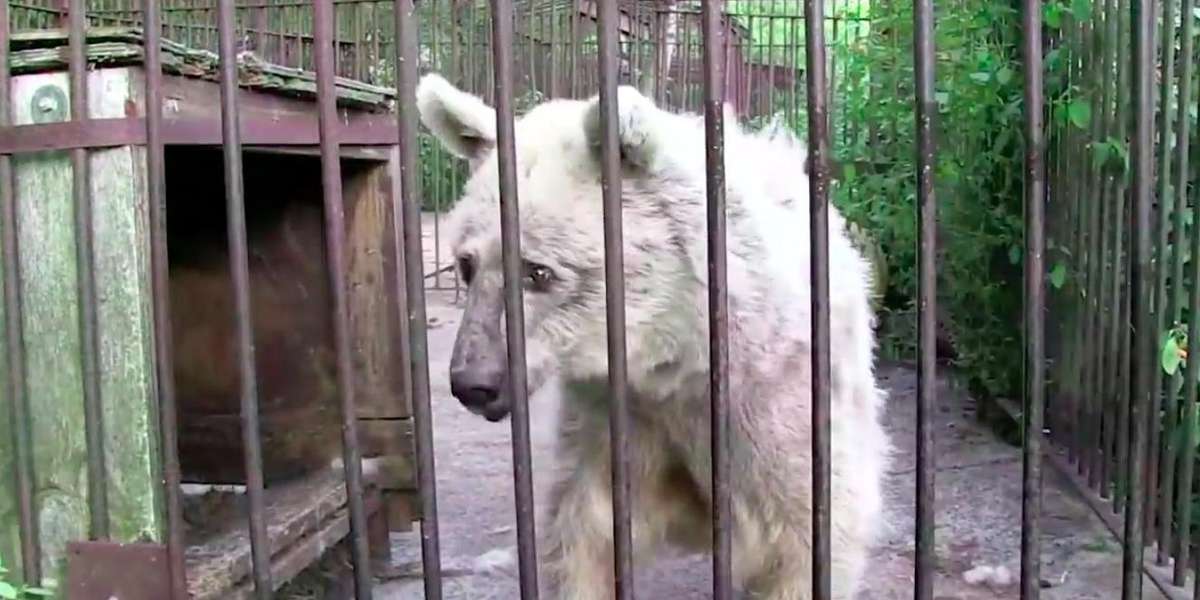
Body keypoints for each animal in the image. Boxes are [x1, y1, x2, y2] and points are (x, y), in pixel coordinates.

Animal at [416, 72, 890, 600]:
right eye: (466, 263)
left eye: (539, 271)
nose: (473, 383)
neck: (676, 353)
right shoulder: (617, 416)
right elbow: (584, 532)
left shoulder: (777, 404)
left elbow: (803, 538)